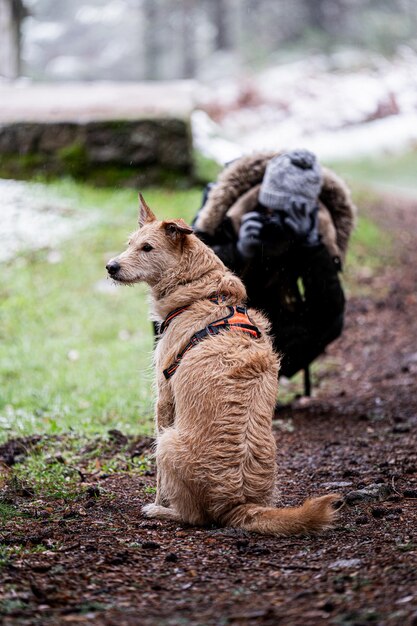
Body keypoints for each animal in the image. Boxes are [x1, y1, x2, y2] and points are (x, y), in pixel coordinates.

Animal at [105, 194, 338, 532]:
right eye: (130, 243)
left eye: (147, 247)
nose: (110, 267)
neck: (202, 292)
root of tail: (237, 504)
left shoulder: (164, 396)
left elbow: (159, 479)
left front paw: (159, 501)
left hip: (168, 443)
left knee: (194, 517)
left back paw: (163, 512)